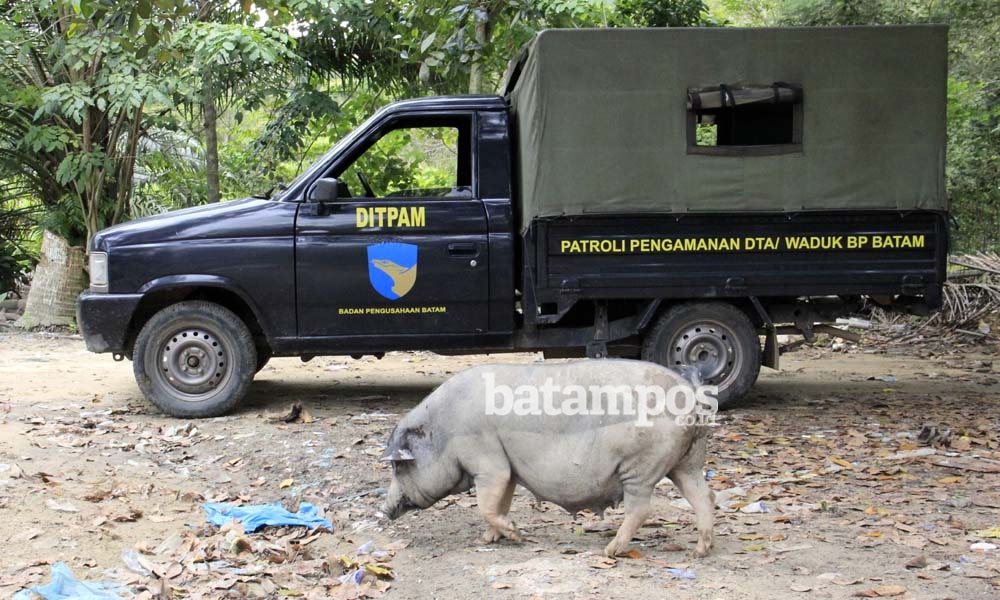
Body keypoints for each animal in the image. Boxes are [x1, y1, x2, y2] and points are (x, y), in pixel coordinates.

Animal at [378, 356, 716, 556]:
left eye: (398, 467)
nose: (383, 510)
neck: (444, 431)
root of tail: (690, 395)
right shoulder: (507, 469)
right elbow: (501, 502)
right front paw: (485, 541)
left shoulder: (486, 461)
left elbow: (487, 505)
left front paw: (517, 536)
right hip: (687, 462)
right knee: (703, 496)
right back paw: (700, 550)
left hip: (640, 466)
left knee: (641, 509)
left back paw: (609, 551)